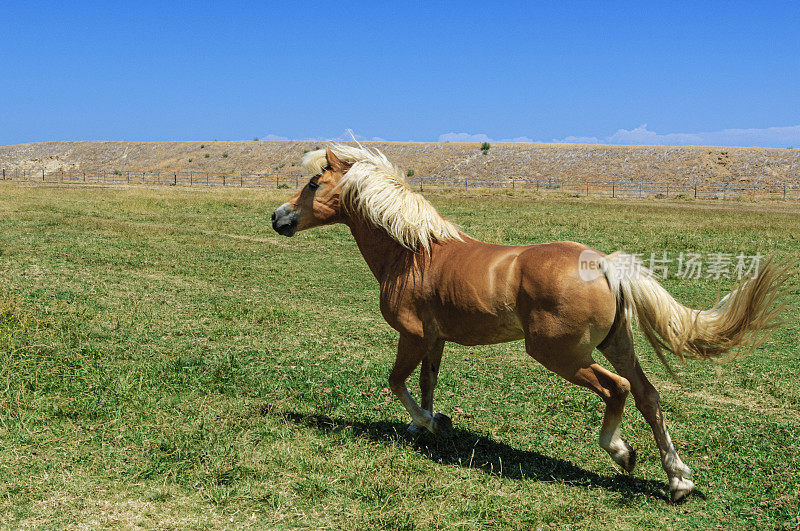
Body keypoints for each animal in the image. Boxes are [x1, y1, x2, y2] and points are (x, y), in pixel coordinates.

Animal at [272, 143, 792, 500]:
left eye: (314, 183)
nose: (278, 218)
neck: (413, 253)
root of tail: (604, 263)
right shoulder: (435, 340)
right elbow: (425, 382)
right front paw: (428, 424)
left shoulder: (413, 335)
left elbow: (397, 381)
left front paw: (431, 424)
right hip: (614, 343)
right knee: (648, 394)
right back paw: (678, 480)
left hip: (557, 352)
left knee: (617, 389)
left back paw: (622, 453)